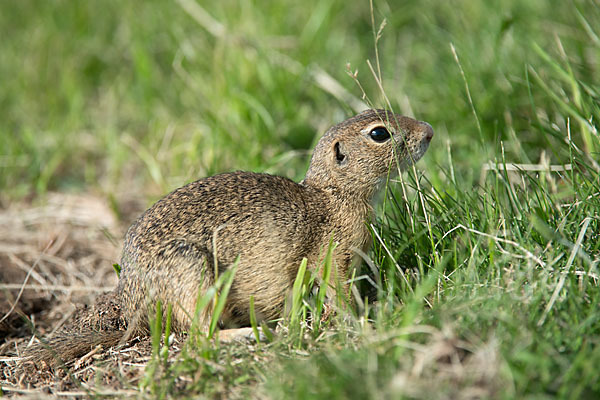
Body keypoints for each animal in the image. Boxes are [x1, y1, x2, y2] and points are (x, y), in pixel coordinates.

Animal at [28, 108, 434, 366]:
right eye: (379, 133)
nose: (429, 131)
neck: (334, 194)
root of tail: (133, 311)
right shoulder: (333, 256)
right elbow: (339, 293)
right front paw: (365, 320)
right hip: (193, 274)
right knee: (199, 336)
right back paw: (250, 334)